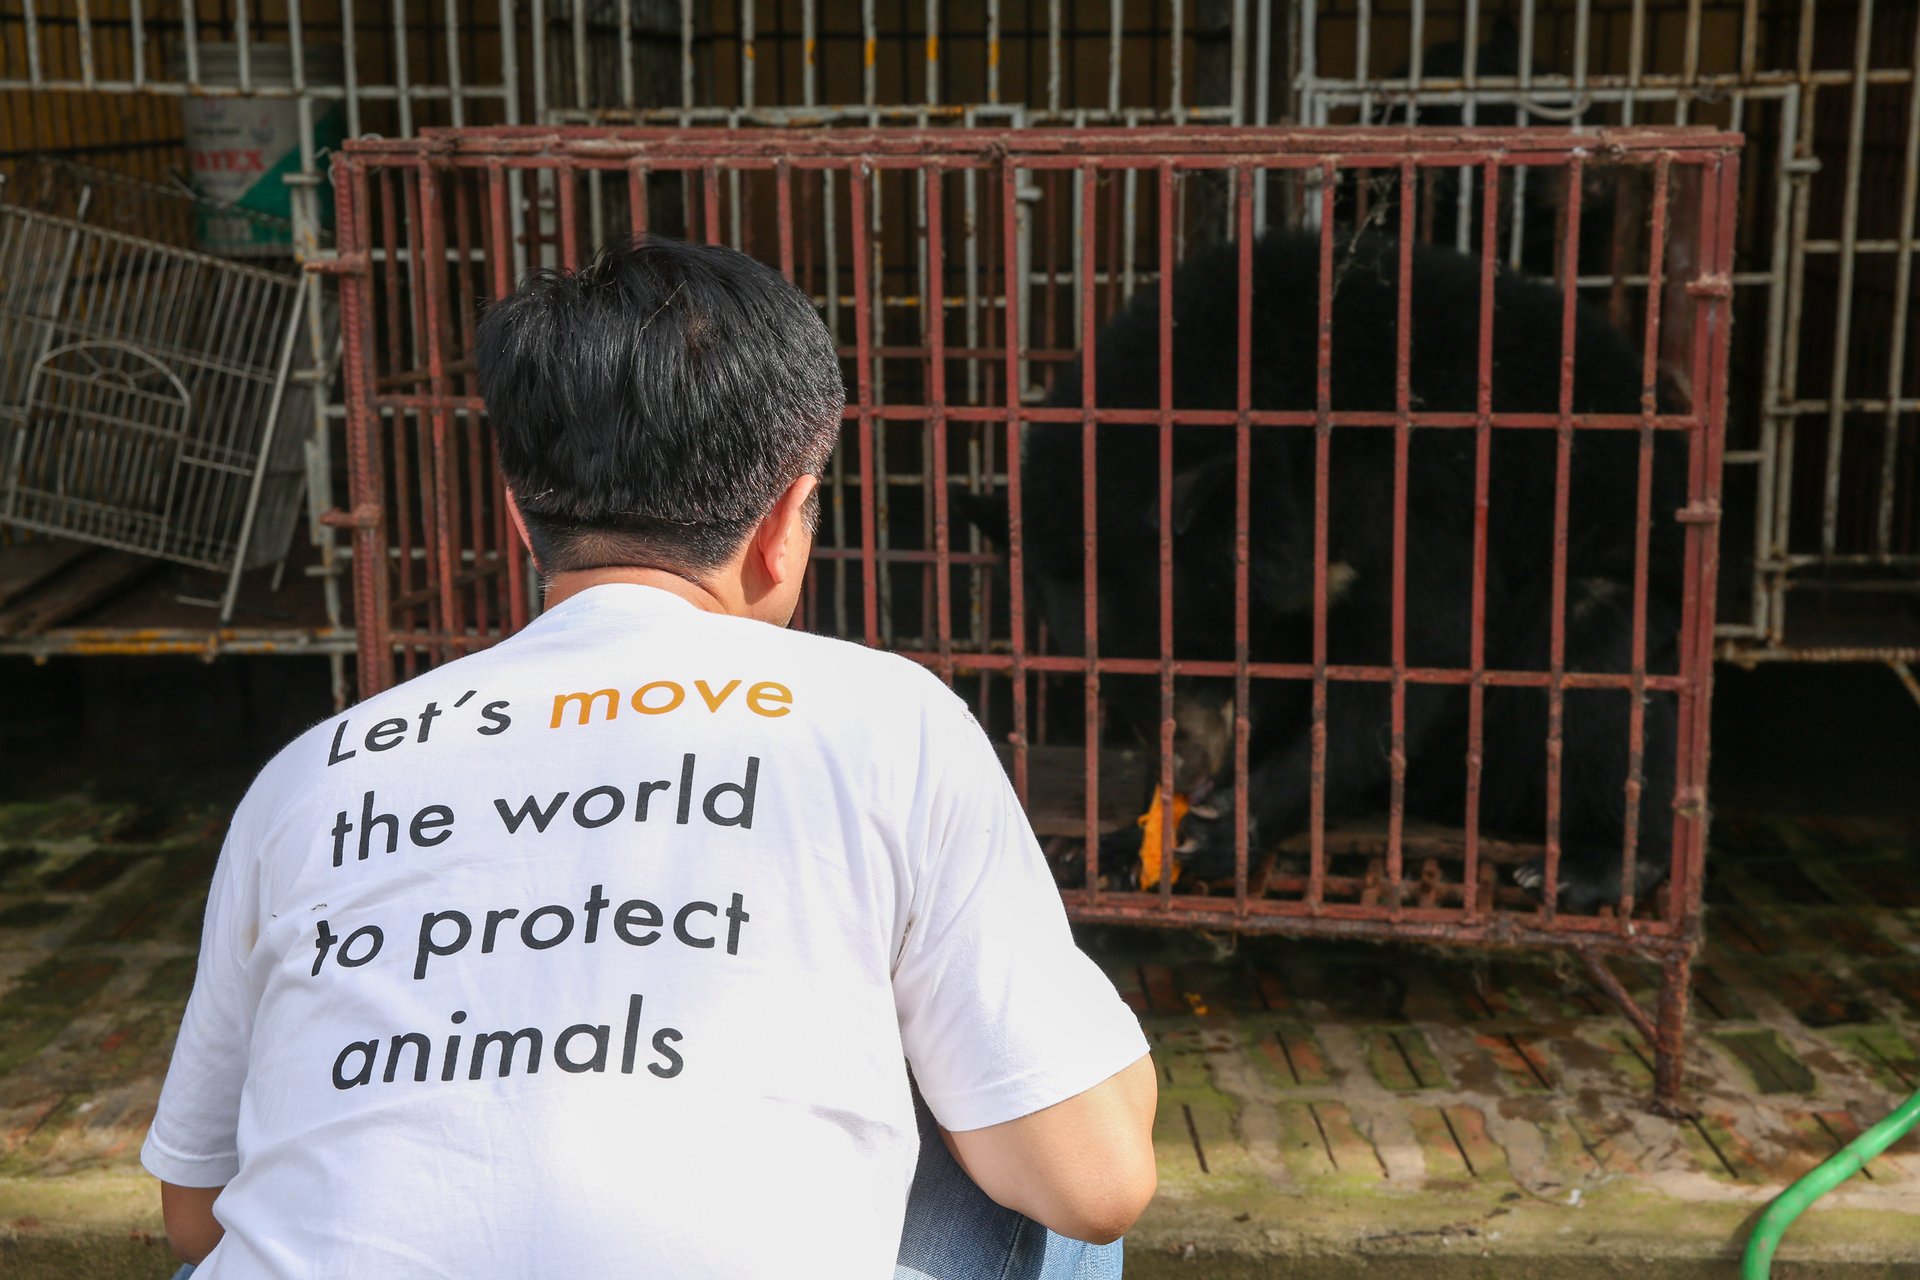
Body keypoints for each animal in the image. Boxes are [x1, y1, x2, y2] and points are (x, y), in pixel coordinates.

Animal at [960, 230, 1681, 909]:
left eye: (1193, 657)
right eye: (1110, 680)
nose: (1185, 776)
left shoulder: (1414, 488)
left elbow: (1417, 647)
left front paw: (1221, 826)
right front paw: (1117, 845)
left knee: (1600, 643)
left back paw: (1596, 864)